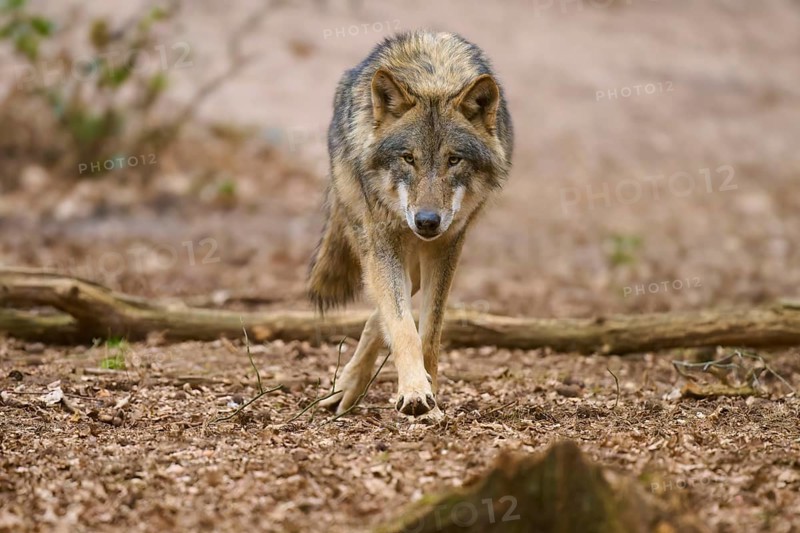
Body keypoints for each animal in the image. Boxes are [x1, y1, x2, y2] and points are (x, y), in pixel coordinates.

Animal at [309, 30, 513, 418]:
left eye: (454, 160)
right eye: (408, 159)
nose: (427, 221)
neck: (433, 79)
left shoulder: (448, 245)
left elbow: (428, 332)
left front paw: (430, 396)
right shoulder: (384, 241)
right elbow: (403, 327)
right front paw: (416, 391)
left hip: (417, 258)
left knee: (379, 315)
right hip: (371, 238)